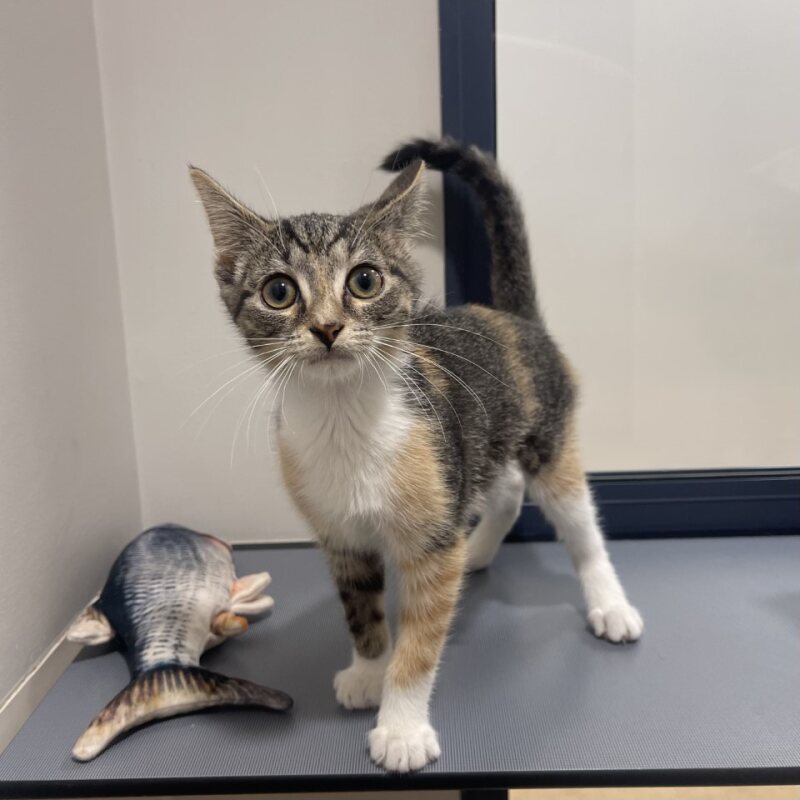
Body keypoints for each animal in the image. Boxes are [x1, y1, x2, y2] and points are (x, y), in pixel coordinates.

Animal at [190, 138, 643, 773]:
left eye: (364, 281)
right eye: (279, 291)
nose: (327, 328)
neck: (345, 421)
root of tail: (514, 317)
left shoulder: (431, 541)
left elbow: (422, 639)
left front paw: (401, 727)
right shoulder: (342, 537)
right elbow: (362, 611)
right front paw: (367, 672)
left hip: (548, 440)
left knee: (578, 521)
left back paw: (609, 603)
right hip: (475, 451)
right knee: (503, 489)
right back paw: (477, 550)